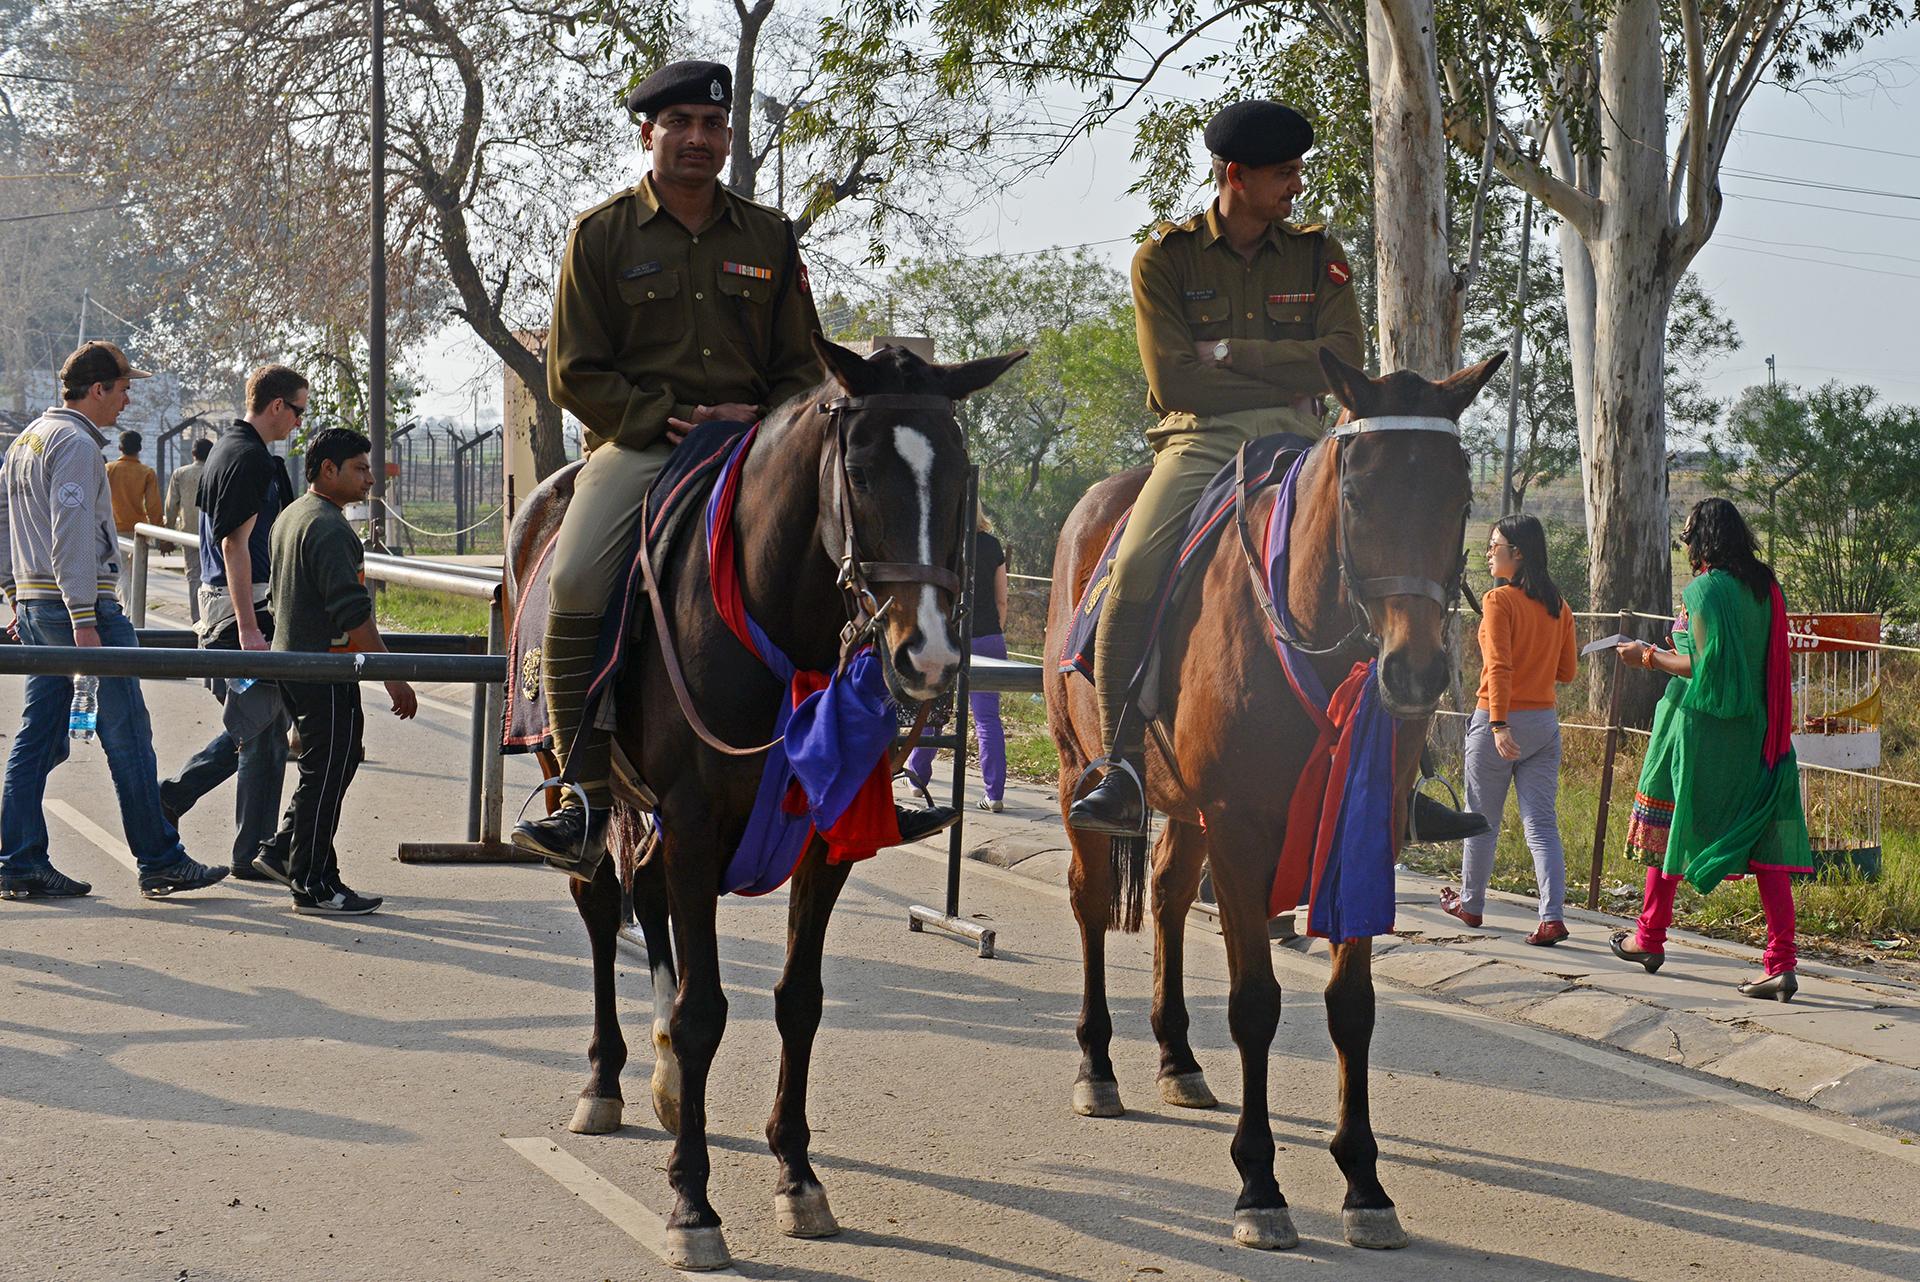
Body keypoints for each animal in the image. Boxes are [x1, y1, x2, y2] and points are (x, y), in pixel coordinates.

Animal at [506, 339, 1021, 1274]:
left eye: (961, 472)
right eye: (860, 470)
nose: (927, 655)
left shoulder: (821, 840)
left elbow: (799, 1000)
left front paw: (797, 1175)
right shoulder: (696, 826)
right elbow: (704, 1010)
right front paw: (691, 1205)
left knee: (645, 903)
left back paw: (666, 1082)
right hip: (574, 773)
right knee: (600, 901)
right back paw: (605, 1079)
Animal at [1044, 347, 1505, 1251]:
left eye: (1462, 496)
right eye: (1357, 492)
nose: (1415, 674)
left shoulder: (1361, 833)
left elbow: (1352, 1008)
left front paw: (1365, 1183)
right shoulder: (1240, 829)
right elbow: (1255, 1004)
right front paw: (1259, 1183)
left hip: (1186, 810)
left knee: (1166, 895)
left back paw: (1178, 1060)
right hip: (1082, 770)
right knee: (1090, 901)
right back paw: (1097, 1065)